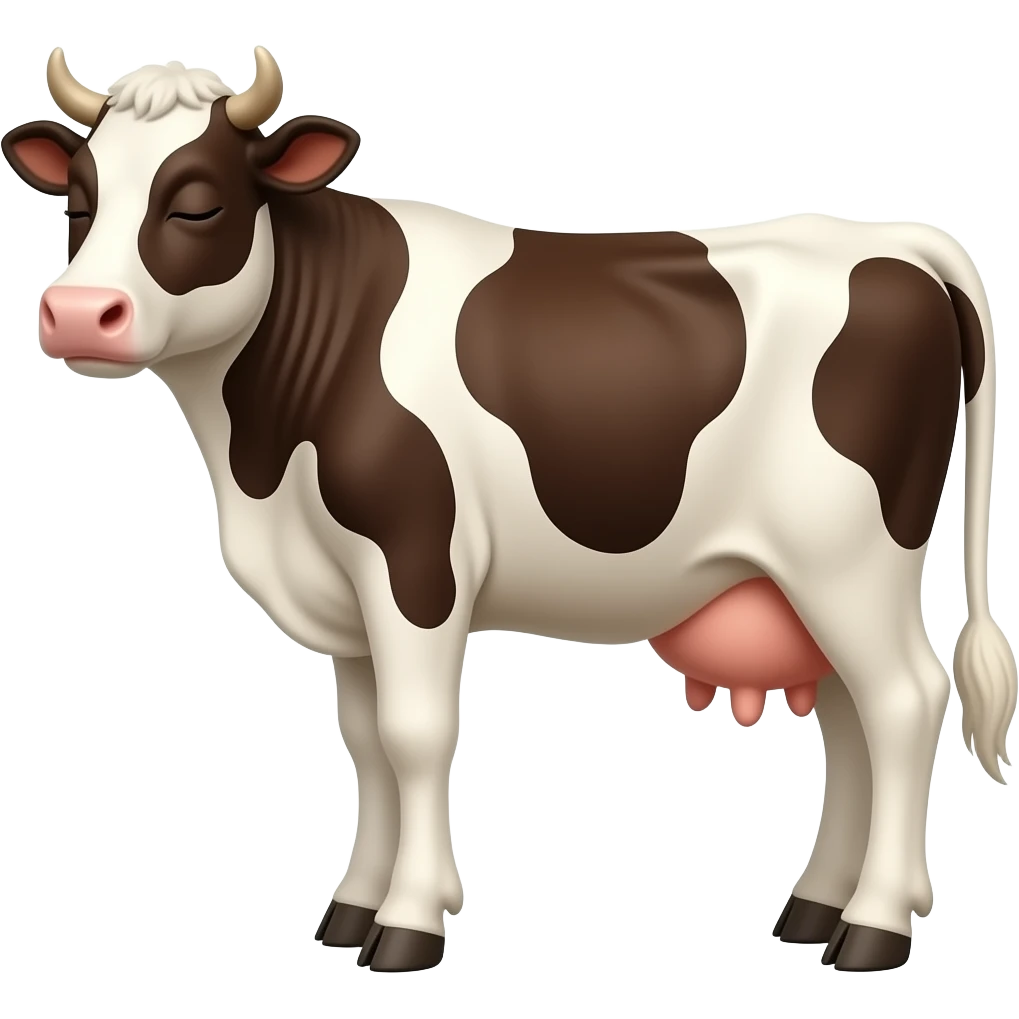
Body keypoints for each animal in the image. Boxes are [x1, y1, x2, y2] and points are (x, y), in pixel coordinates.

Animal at [3, 45, 1015, 975]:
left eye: (198, 204)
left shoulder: (413, 561)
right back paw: (814, 907)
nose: (79, 312)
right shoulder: (346, 591)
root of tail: (894, 241)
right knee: (850, 719)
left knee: (902, 701)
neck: (259, 459)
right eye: (78, 202)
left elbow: (414, 736)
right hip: (810, 577)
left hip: (847, 553)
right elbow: (365, 742)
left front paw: (409, 923)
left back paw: (873, 927)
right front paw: (353, 910)